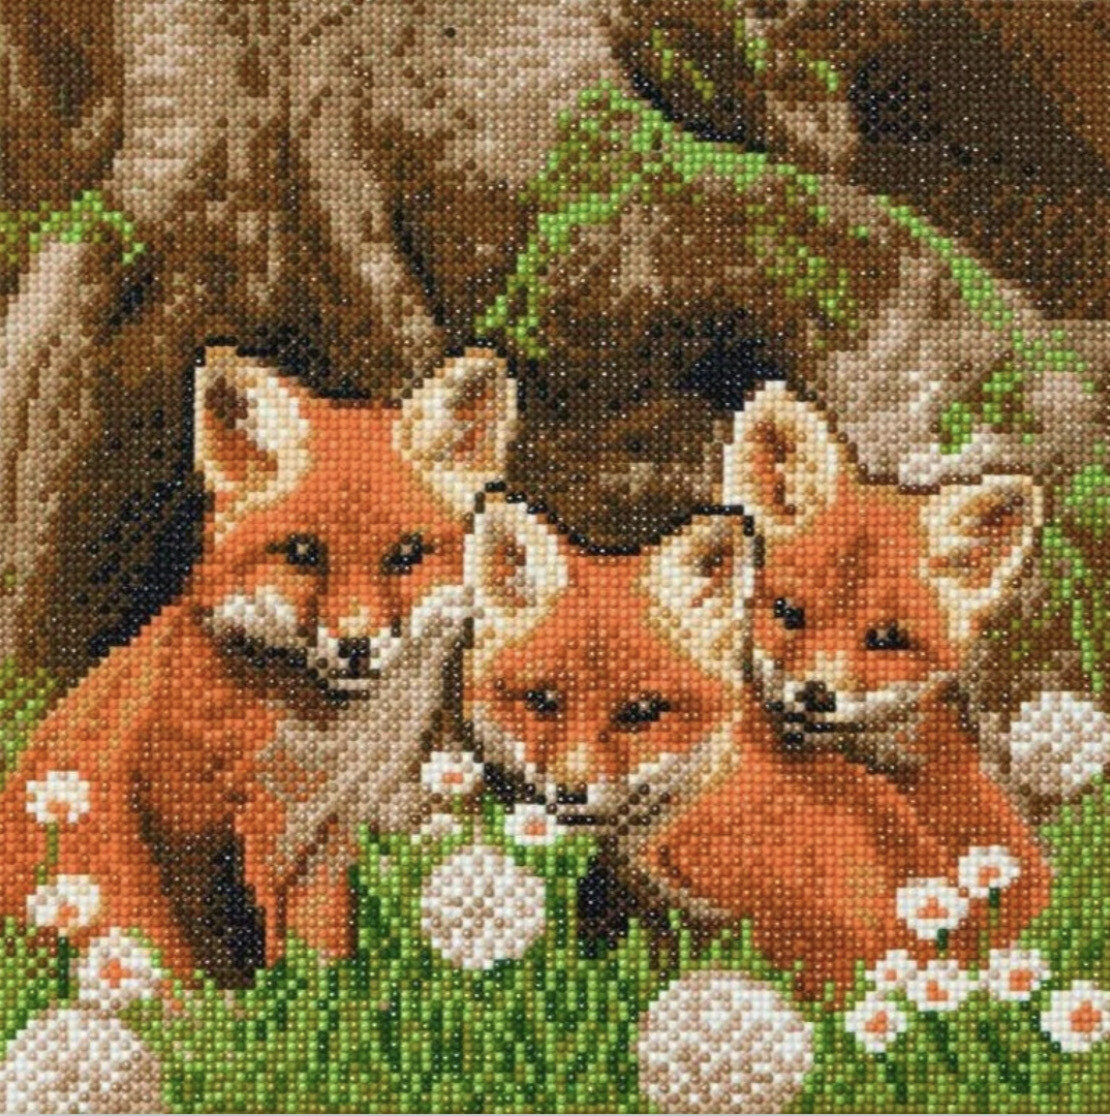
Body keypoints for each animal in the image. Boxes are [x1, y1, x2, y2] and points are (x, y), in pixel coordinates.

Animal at [0, 345, 516, 982]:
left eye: (406, 555)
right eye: (302, 552)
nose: (356, 645)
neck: (319, 751)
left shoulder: (326, 851)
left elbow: (317, 958)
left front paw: (321, 998)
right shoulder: (186, 817)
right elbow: (220, 966)